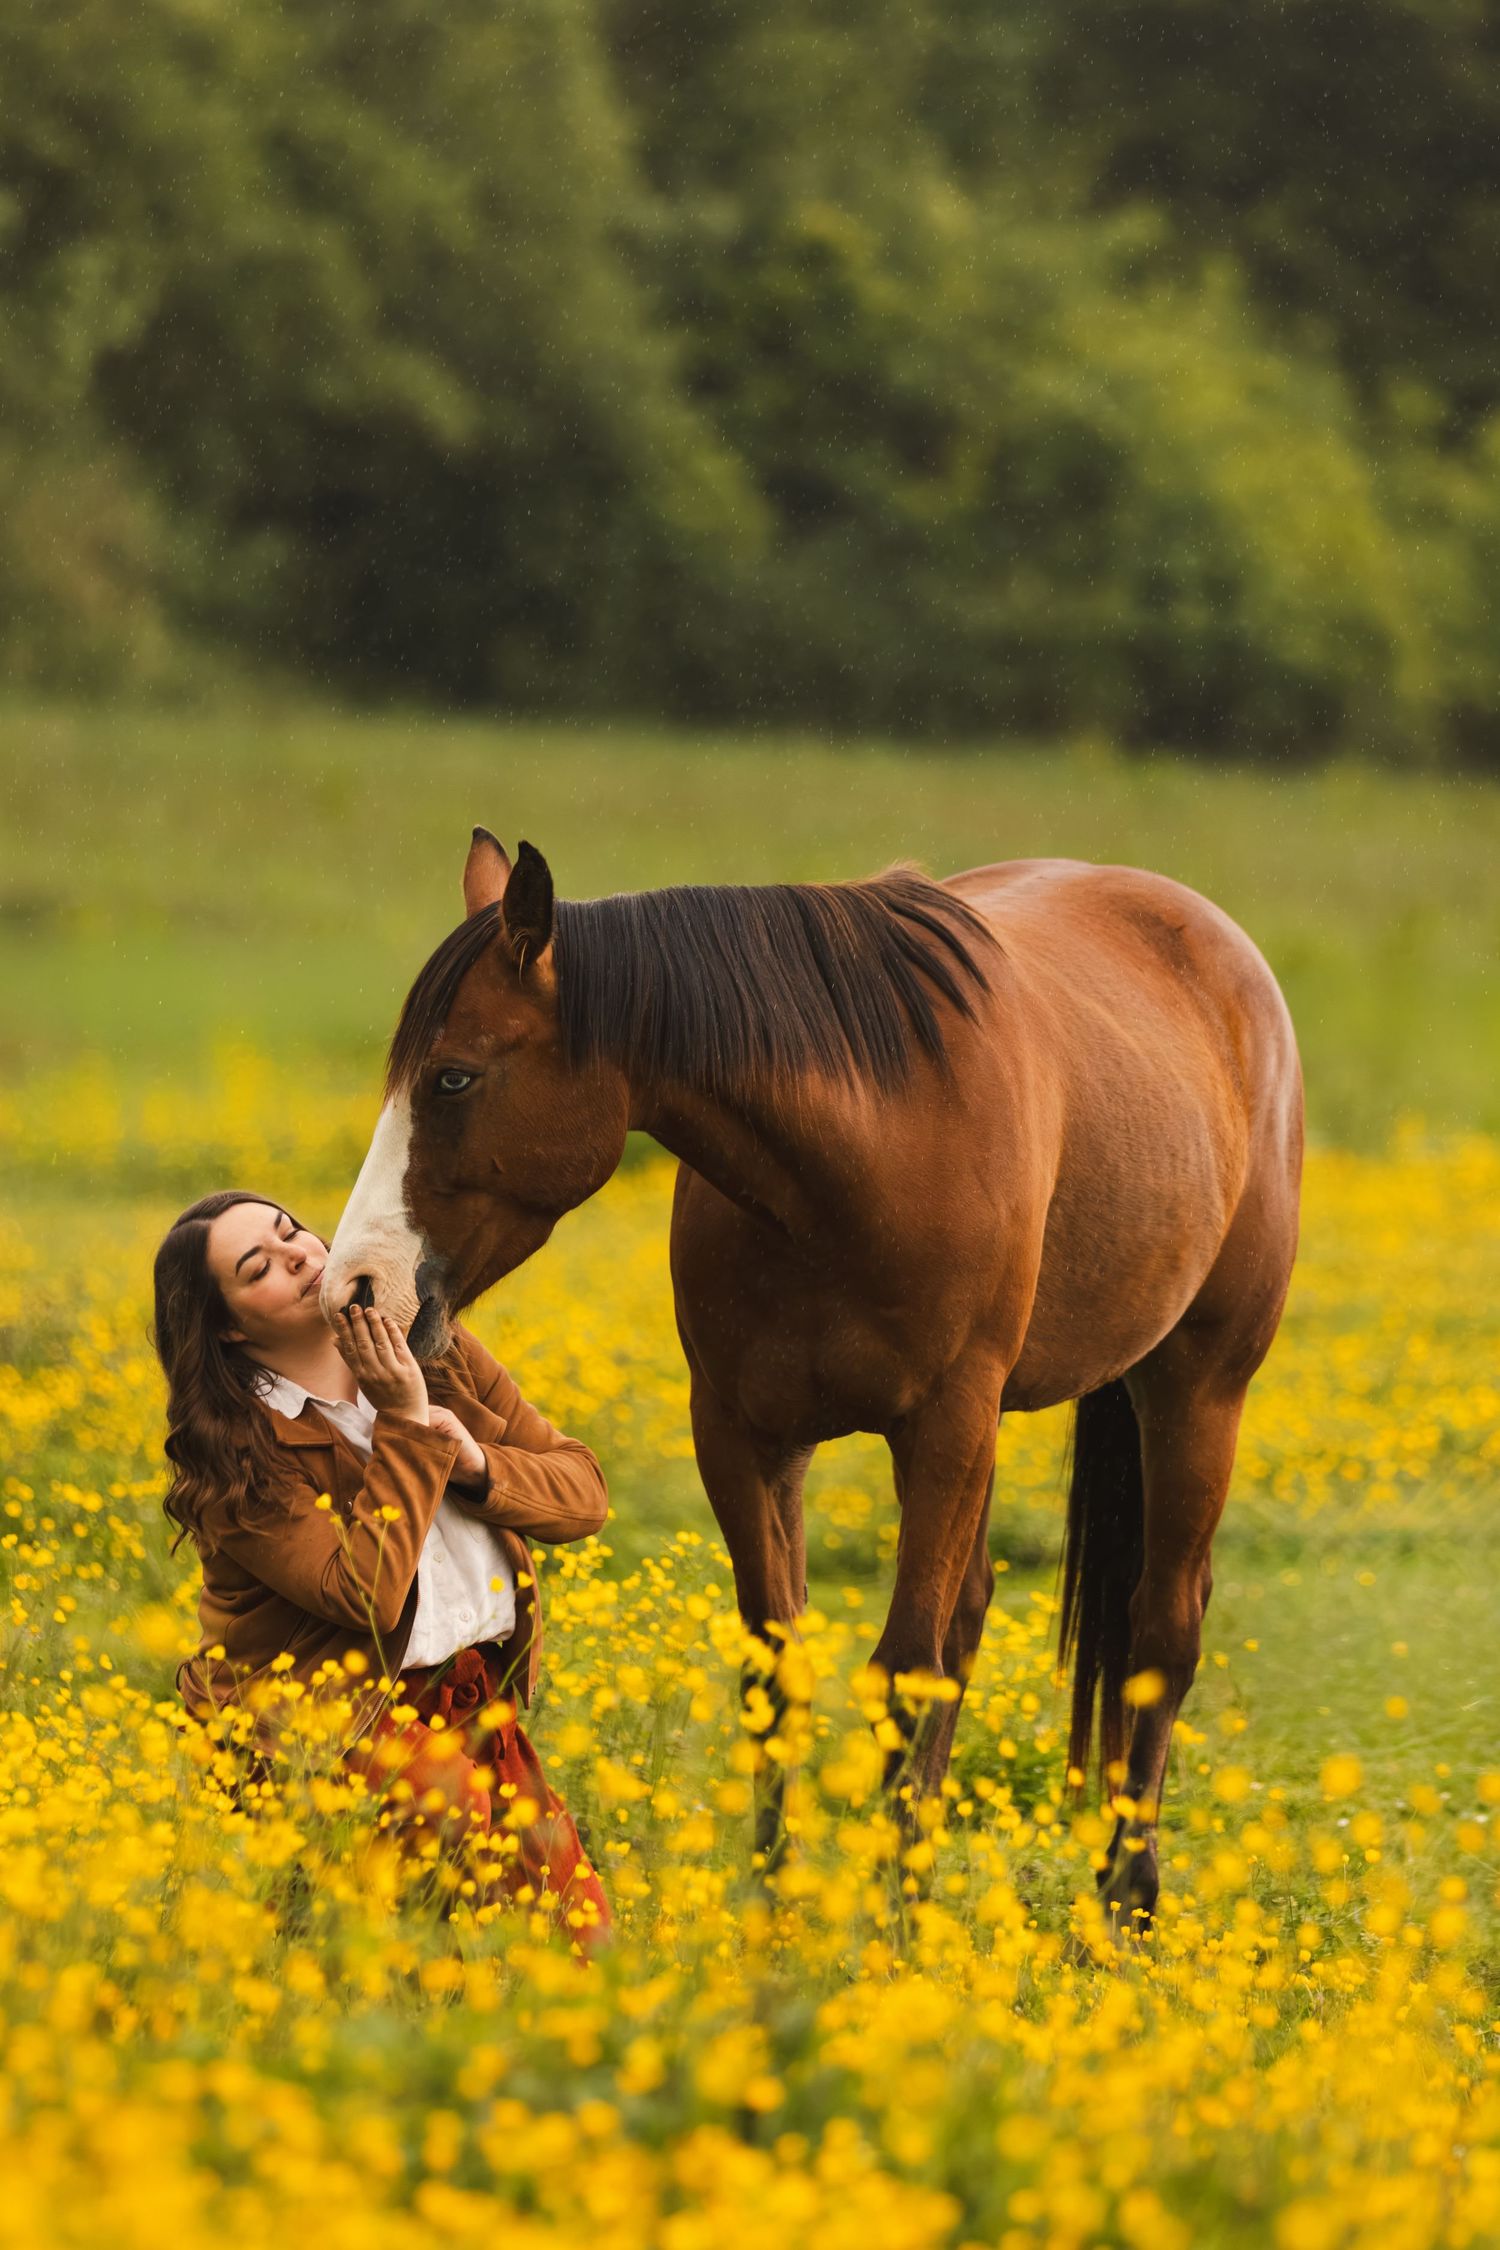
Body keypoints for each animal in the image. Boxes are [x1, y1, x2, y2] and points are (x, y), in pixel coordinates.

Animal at [323, 828, 1302, 1932]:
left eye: (453, 1079)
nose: (355, 1286)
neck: (861, 1157)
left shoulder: (947, 1424)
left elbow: (906, 1667)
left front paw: (887, 1936)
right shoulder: (744, 1436)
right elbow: (778, 1667)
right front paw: (779, 1908)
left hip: (1194, 1388)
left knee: (1162, 1625)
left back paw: (1124, 1900)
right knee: (981, 1616)